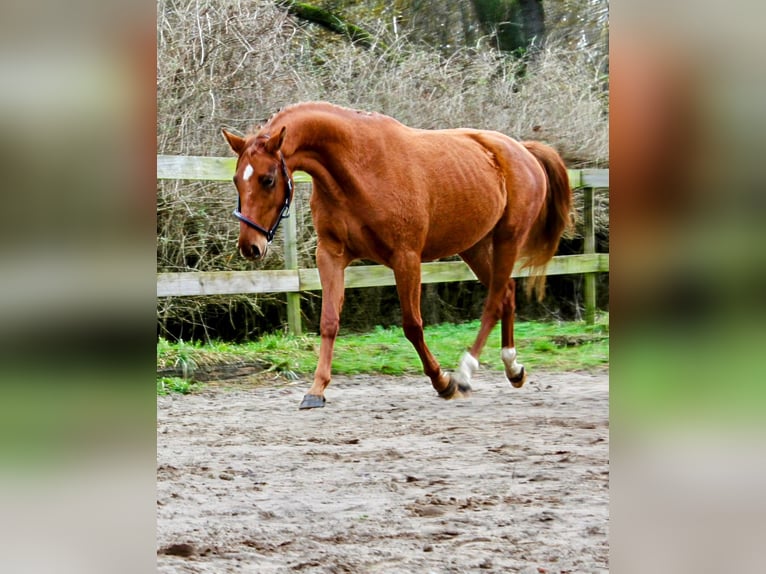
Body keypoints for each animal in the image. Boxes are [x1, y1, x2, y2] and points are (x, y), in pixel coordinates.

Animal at [222, 102, 568, 410]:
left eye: (268, 179)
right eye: (237, 180)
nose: (250, 247)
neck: (359, 166)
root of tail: (521, 149)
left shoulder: (406, 257)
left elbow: (412, 325)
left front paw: (443, 382)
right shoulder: (331, 255)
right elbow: (329, 322)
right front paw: (316, 391)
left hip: (508, 238)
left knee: (495, 300)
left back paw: (465, 373)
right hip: (475, 246)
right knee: (506, 293)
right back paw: (513, 369)